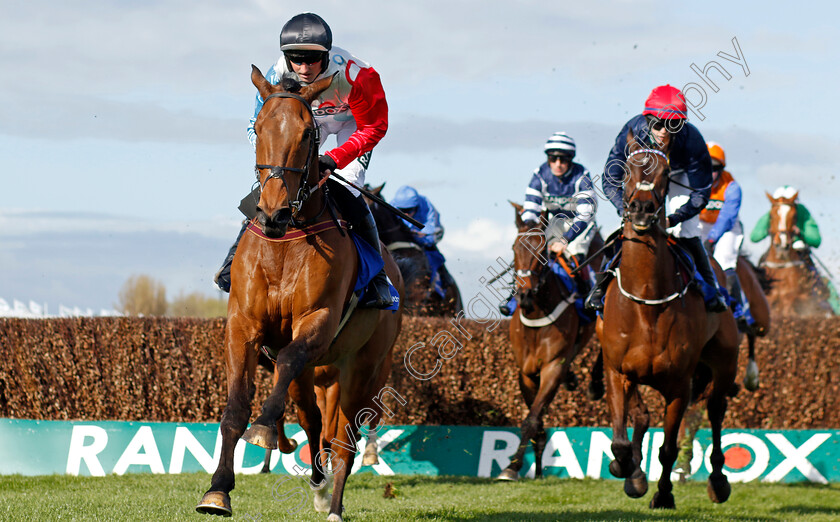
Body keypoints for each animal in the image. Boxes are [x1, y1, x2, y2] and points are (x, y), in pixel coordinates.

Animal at [496, 201, 608, 478]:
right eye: (514, 248)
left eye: (542, 250)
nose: (524, 294)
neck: (536, 315)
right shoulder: (525, 371)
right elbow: (535, 418)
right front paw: (533, 468)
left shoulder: (552, 367)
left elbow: (531, 419)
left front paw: (512, 468)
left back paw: (595, 384)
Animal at [596, 131, 736, 508]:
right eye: (627, 170)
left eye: (665, 172)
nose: (642, 209)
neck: (647, 303)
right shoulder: (616, 370)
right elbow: (620, 441)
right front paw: (628, 472)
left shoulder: (679, 385)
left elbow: (669, 449)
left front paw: (663, 494)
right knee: (642, 416)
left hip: (724, 361)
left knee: (716, 409)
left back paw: (718, 481)